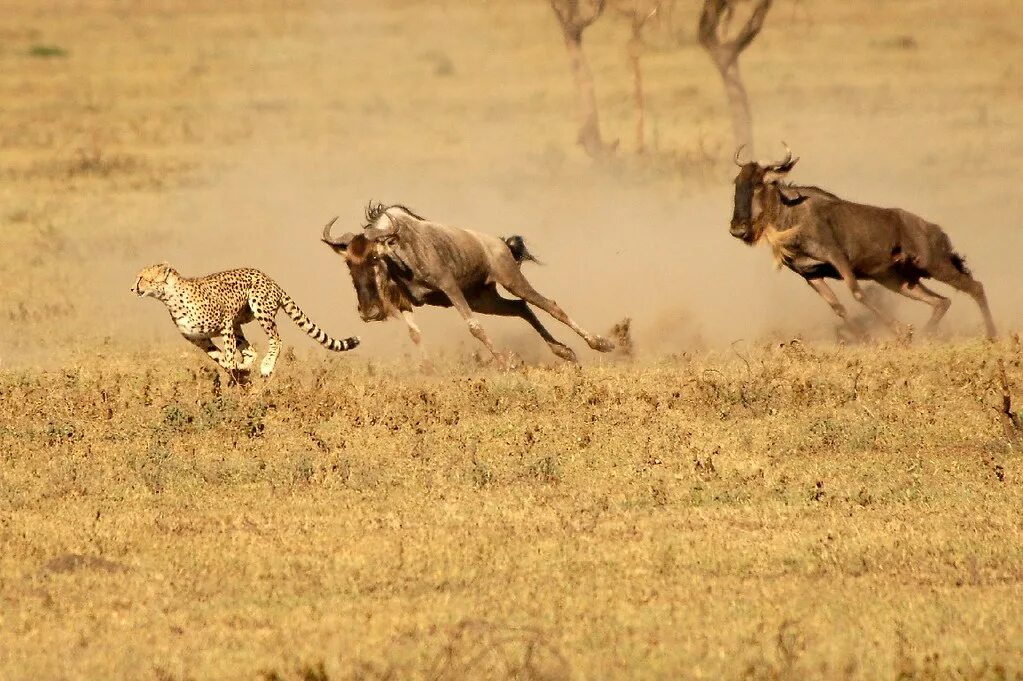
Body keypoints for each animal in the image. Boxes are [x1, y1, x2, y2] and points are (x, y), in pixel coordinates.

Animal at [132, 260, 360, 376]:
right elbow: (218, 357)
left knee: (276, 339)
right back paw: (246, 366)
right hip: (239, 323)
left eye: (142, 278)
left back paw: (266, 366)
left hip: (258, 306)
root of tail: (270, 279)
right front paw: (233, 369)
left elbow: (228, 351)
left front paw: (234, 369)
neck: (170, 298)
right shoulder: (199, 339)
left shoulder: (225, 322)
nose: (132, 288)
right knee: (251, 351)